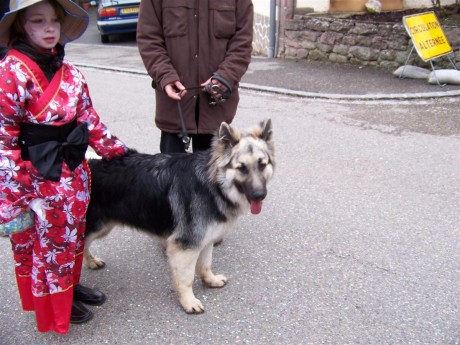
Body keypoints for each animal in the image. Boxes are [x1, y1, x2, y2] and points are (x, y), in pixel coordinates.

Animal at [84, 118, 274, 312]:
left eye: (262, 164)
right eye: (241, 168)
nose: (260, 195)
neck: (212, 184)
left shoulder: (205, 239)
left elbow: (206, 265)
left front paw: (210, 280)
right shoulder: (186, 246)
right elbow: (186, 278)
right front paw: (188, 302)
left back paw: (91, 262)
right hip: (95, 227)